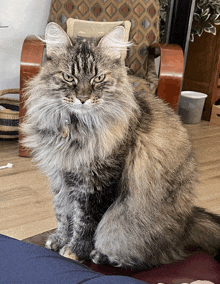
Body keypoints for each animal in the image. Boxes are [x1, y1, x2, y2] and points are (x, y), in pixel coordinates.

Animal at [21, 22, 220, 268]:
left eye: (98, 78)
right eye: (69, 77)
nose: (83, 99)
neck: (77, 129)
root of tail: (188, 224)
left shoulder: (98, 184)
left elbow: (86, 223)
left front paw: (75, 251)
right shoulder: (62, 178)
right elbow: (63, 214)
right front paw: (59, 240)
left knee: (148, 258)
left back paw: (101, 255)